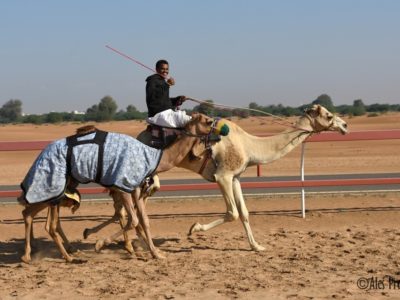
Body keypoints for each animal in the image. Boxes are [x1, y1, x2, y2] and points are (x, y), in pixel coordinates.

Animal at [20, 112, 223, 262]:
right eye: (208, 121)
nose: (221, 131)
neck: (153, 157)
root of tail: (41, 154)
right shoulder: (123, 185)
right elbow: (132, 220)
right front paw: (100, 243)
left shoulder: (135, 187)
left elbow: (144, 220)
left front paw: (156, 253)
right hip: (54, 184)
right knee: (44, 219)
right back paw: (63, 256)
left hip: (62, 187)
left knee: (32, 213)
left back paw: (34, 255)